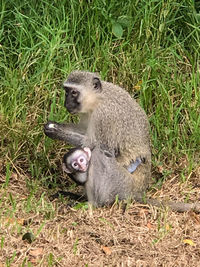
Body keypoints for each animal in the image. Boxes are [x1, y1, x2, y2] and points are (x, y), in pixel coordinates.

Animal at [43, 70, 150, 198]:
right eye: (67, 91)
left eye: (74, 93)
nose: (66, 103)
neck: (98, 98)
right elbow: (84, 130)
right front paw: (55, 125)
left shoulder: (104, 116)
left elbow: (101, 147)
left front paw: (57, 132)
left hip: (123, 184)